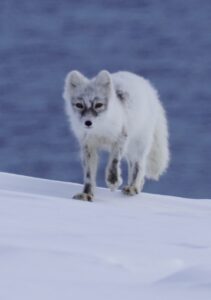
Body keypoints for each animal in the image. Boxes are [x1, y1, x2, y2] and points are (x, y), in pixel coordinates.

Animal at [63, 70, 170, 202]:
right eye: (79, 105)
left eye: (98, 105)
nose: (88, 122)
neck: (100, 130)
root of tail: (149, 87)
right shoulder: (88, 145)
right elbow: (89, 174)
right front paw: (86, 194)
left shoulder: (121, 138)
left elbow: (113, 161)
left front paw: (113, 181)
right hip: (130, 149)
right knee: (134, 166)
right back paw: (136, 186)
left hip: (138, 144)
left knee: (139, 165)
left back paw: (133, 188)